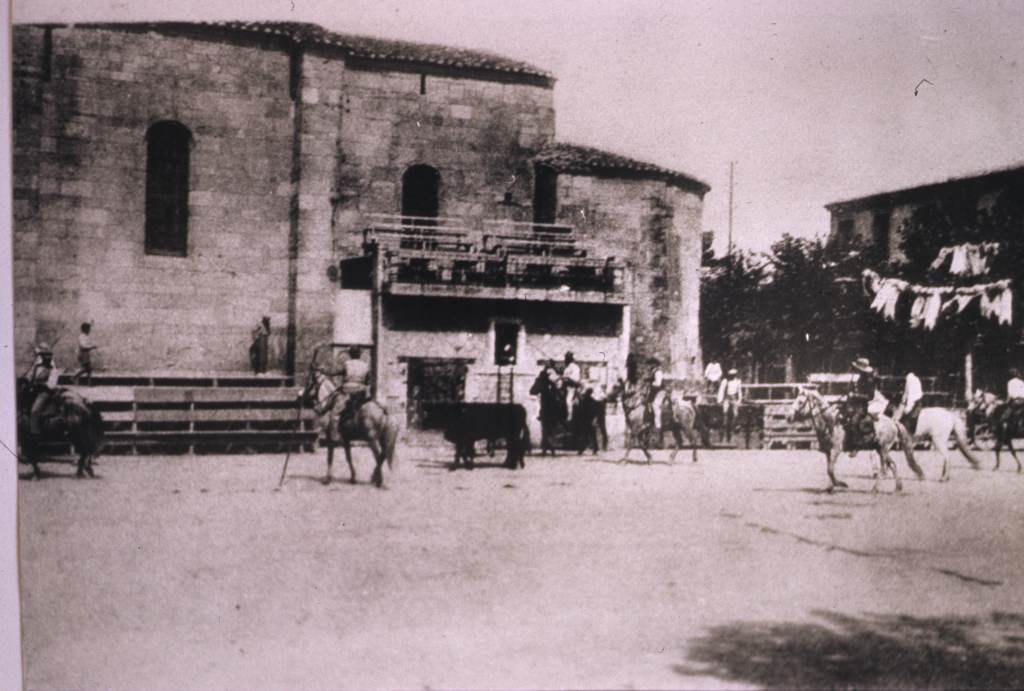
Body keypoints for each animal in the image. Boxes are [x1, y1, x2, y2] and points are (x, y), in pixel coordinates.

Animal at [786, 389, 925, 491]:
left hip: (884, 449)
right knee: (893, 465)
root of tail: (893, 422)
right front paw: (831, 487)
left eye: (800, 402)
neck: (832, 423)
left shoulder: (836, 450)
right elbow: (829, 470)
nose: (788, 417)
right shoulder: (828, 452)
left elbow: (830, 470)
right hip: (880, 449)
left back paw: (875, 489)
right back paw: (898, 488)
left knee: (884, 469)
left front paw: (841, 484)